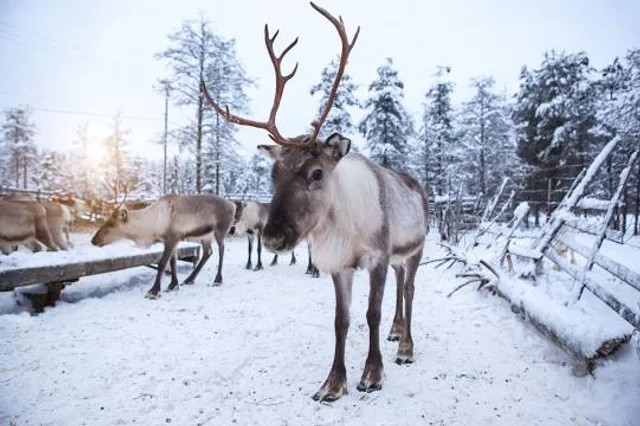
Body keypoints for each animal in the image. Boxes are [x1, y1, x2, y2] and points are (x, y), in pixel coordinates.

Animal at [90, 193, 236, 299]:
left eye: (111, 224)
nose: (93, 240)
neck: (152, 223)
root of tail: (233, 204)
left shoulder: (172, 238)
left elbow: (162, 264)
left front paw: (154, 291)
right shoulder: (173, 241)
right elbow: (173, 263)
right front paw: (173, 285)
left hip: (220, 230)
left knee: (221, 249)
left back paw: (217, 280)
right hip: (205, 236)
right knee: (208, 252)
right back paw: (189, 280)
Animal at [201, 2, 429, 403]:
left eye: (317, 172)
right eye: (273, 173)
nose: (273, 237)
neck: (343, 228)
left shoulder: (378, 257)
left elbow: (371, 314)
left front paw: (372, 374)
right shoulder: (340, 265)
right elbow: (341, 320)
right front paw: (333, 383)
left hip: (415, 250)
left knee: (410, 290)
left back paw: (405, 348)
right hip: (400, 257)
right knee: (402, 286)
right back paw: (397, 332)